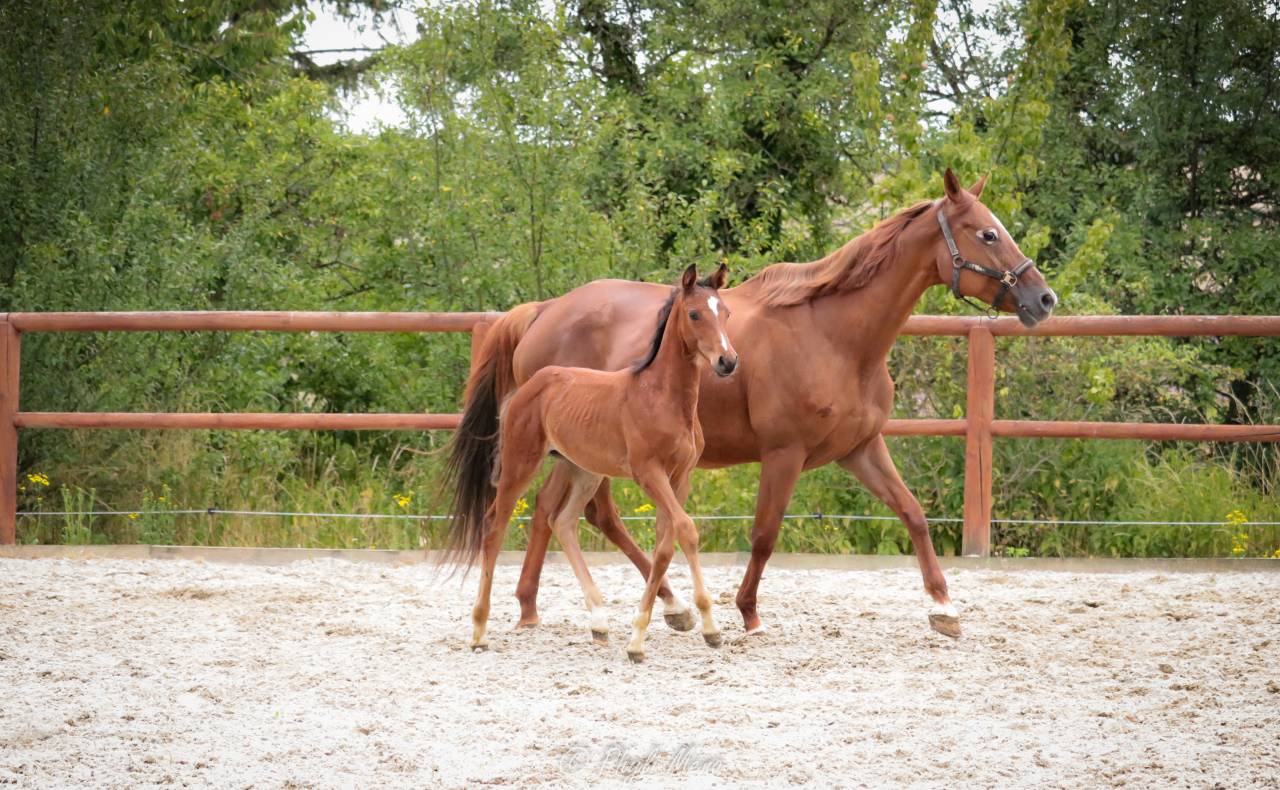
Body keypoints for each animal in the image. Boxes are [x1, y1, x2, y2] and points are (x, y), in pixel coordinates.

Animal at [444, 263, 738, 661]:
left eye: (726, 313)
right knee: (494, 526)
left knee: (562, 520)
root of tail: (532, 382)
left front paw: (653, 633)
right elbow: (687, 530)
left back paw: (599, 622)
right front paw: (699, 626)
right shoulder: (649, 473)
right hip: (521, 463)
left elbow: (665, 543)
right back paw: (479, 630)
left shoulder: (680, 477)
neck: (662, 397)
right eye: (694, 314)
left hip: (582, 469)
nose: (728, 361)